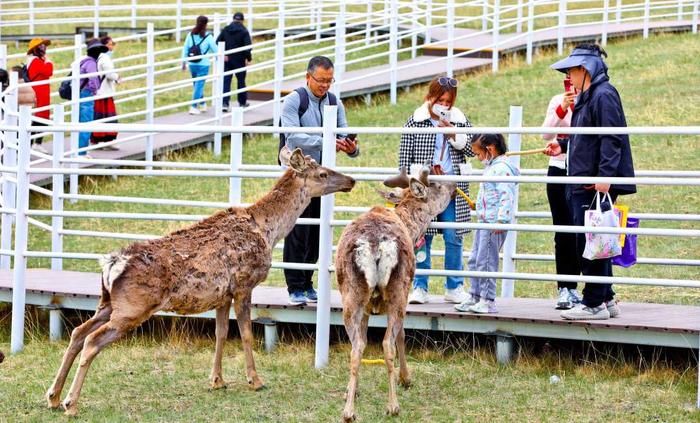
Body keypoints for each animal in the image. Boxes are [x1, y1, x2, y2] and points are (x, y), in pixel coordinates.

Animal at [46, 148, 356, 418]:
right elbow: (246, 333)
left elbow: (221, 333)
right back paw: (71, 403)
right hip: (133, 308)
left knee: (78, 333)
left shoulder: (222, 295)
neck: (268, 231)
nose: (351, 180)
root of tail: (111, 265)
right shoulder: (244, 284)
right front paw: (255, 380)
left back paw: (53, 396)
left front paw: (217, 380)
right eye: (323, 173)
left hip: (108, 303)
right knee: (92, 341)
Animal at [336, 166, 456, 420]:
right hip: (397, 291)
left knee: (356, 347)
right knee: (387, 344)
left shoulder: (367, 308)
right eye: (436, 185)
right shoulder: (404, 295)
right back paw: (393, 405)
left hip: (352, 294)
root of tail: (373, 244)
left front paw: (352, 390)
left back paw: (349, 411)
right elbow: (401, 336)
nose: (453, 186)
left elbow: (362, 341)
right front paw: (406, 378)